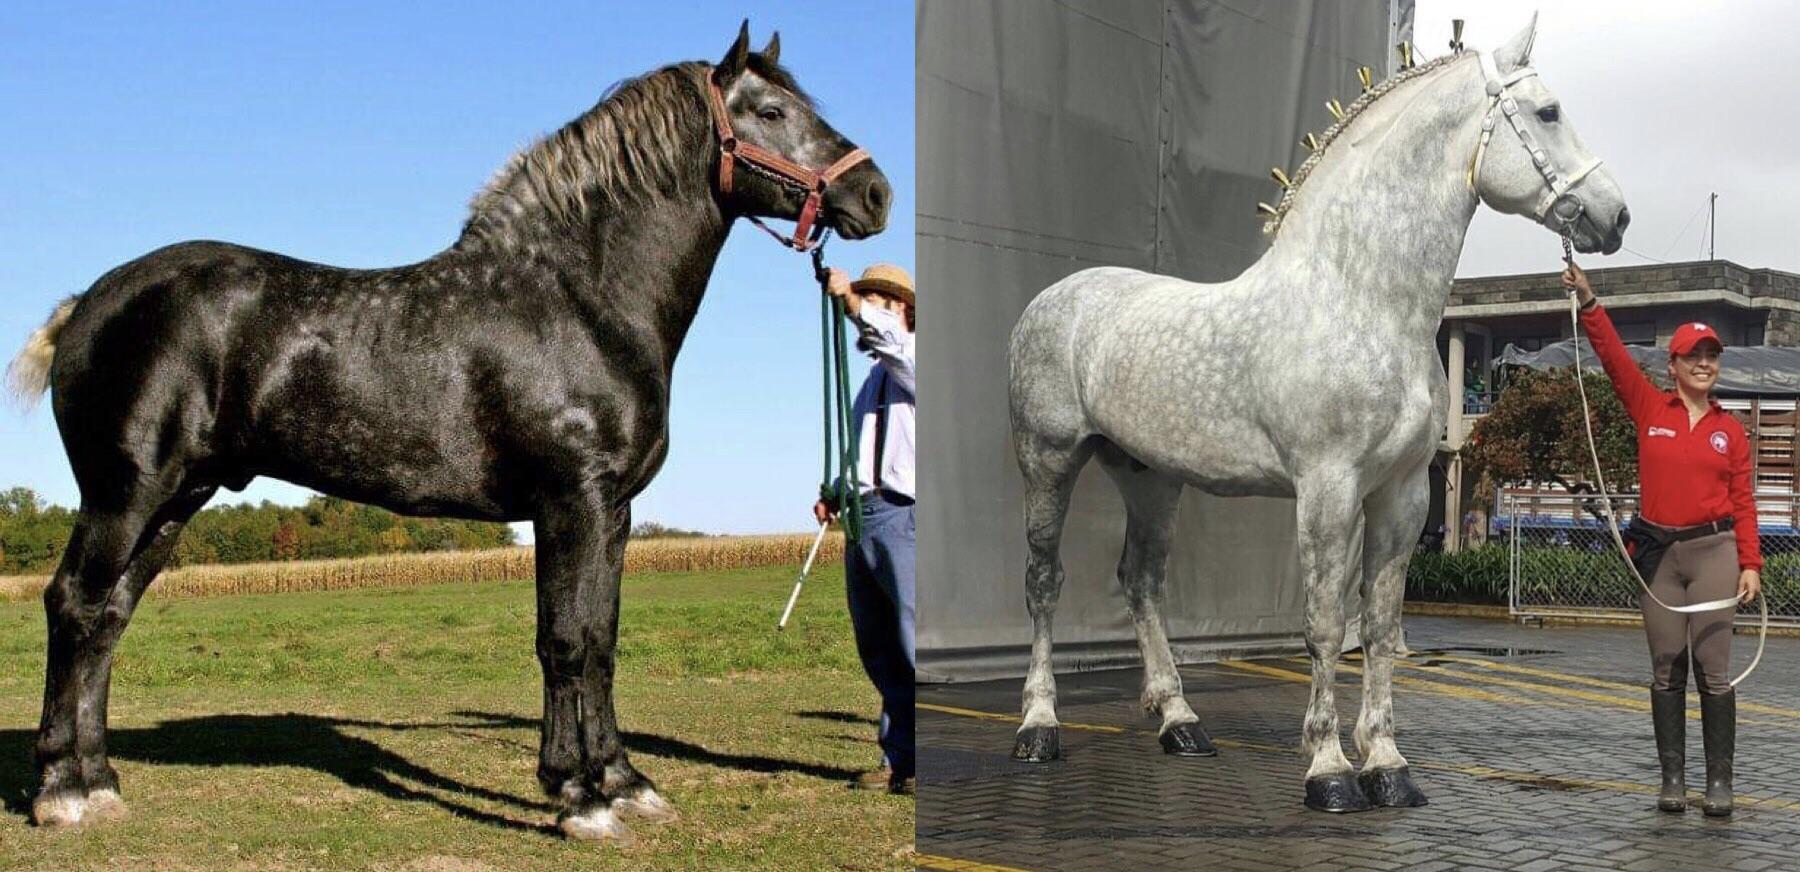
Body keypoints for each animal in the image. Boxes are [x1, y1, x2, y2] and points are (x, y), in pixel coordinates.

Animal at [8, 27, 892, 839]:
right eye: (771, 111)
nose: (875, 193)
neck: (580, 301)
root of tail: (87, 302)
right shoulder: (571, 501)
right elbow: (566, 641)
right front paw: (580, 799)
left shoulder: (611, 512)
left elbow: (600, 641)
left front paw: (619, 781)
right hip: (124, 493)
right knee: (74, 604)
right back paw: (60, 791)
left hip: (176, 499)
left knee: (109, 618)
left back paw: (100, 781)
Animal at [1008, 17, 1627, 814]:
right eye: (1549, 112)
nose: (1616, 216)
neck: (1361, 299)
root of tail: (1053, 299)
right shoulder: (1327, 490)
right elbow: (1327, 624)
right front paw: (1329, 770)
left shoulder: (1402, 495)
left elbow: (1382, 625)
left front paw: (1388, 767)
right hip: (1048, 459)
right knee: (1044, 581)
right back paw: (1038, 727)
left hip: (1151, 477)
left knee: (1141, 581)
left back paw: (1180, 722)